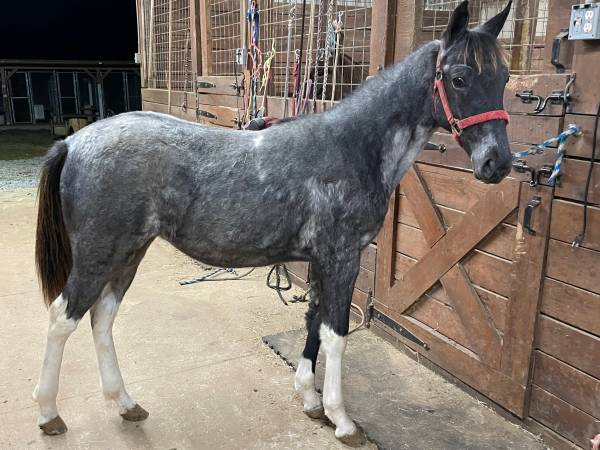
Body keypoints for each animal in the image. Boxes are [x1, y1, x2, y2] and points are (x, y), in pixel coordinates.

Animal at [32, 0, 510, 446]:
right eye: (460, 77)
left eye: (504, 78)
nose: (498, 163)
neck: (352, 147)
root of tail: (74, 143)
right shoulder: (343, 258)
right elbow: (336, 332)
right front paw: (341, 419)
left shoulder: (322, 260)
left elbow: (314, 319)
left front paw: (311, 400)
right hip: (99, 253)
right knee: (62, 316)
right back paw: (49, 413)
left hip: (129, 251)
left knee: (102, 316)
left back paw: (126, 403)